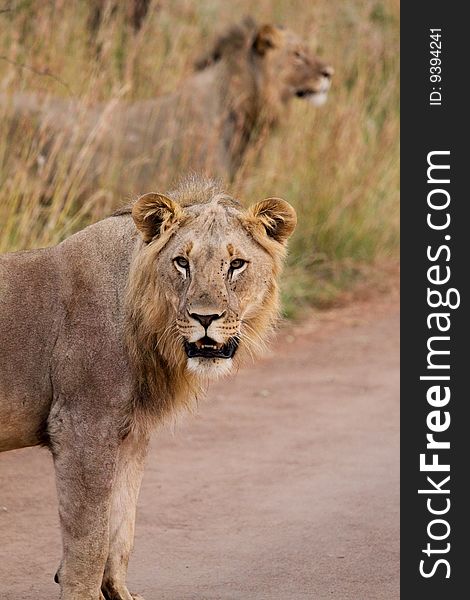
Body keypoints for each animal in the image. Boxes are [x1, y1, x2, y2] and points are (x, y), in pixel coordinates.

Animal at [0, 175, 298, 600]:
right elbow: (90, 536)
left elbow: (121, 527)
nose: (205, 318)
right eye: (182, 263)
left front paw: (119, 593)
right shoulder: (81, 426)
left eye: (236, 264)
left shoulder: (131, 434)